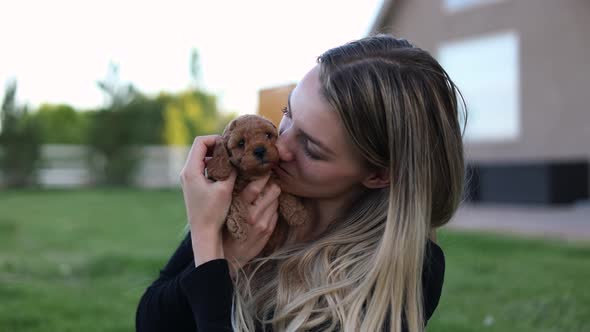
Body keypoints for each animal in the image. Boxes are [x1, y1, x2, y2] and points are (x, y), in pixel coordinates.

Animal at [206, 115, 310, 245]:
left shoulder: (275, 179)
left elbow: (285, 193)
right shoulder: (232, 191)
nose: (260, 150)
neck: (255, 175)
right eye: (241, 143)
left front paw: (297, 213)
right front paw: (240, 228)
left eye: (267, 135)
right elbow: (235, 203)